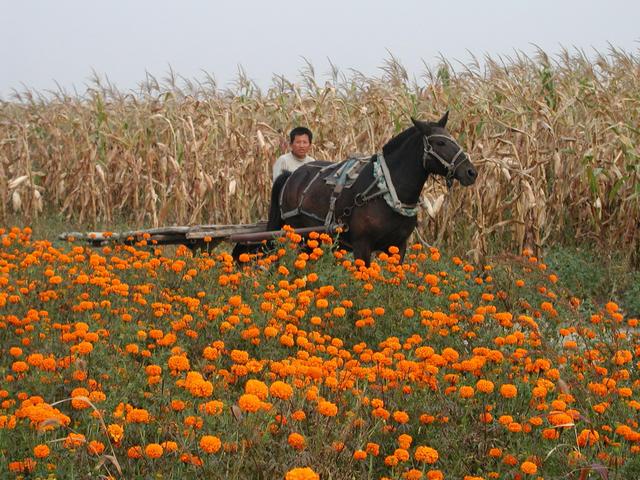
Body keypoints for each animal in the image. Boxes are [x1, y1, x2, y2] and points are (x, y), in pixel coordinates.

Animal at [242, 113, 478, 266]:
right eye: (439, 143)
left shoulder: (398, 246)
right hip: (298, 236)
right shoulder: (361, 245)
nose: (471, 172)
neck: (387, 193)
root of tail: (292, 174)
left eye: (453, 138)